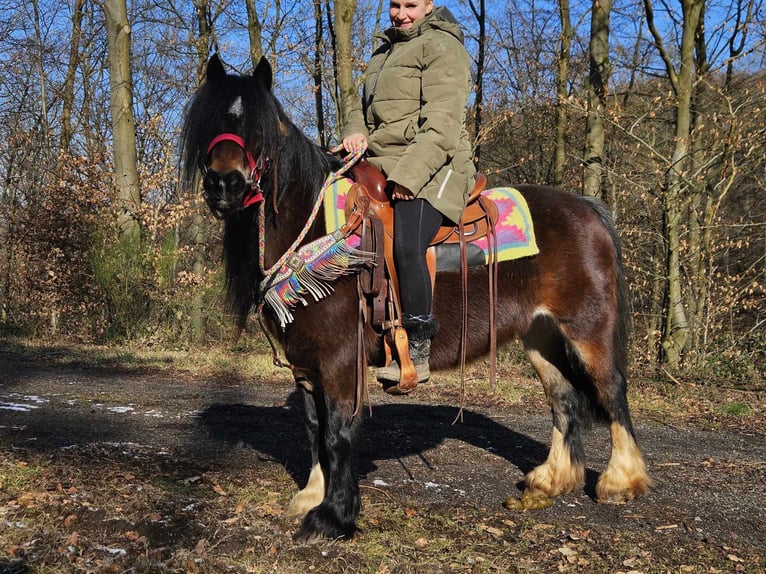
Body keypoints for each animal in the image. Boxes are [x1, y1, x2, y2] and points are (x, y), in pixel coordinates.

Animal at [178, 55, 648, 544]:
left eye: (259, 127)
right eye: (210, 121)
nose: (224, 184)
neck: (317, 229)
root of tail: (588, 208)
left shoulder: (340, 358)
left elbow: (338, 432)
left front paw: (334, 517)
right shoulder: (305, 361)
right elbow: (313, 427)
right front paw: (311, 496)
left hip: (587, 331)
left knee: (612, 391)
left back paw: (620, 481)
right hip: (540, 336)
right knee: (564, 399)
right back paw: (551, 479)